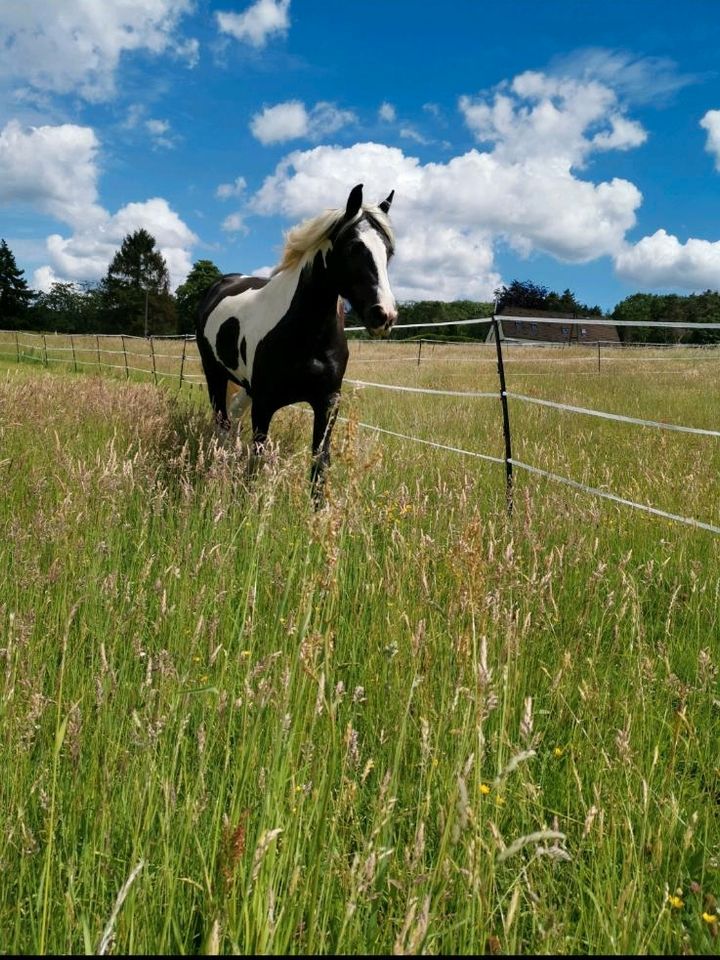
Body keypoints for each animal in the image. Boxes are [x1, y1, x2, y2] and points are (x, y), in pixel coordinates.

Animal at [197, 184, 396, 506]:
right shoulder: (264, 404)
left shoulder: (327, 403)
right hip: (214, 374)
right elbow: (258, 458)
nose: (384, 315)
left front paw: (317, 512)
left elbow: (320, 461)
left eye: (388, 252)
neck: (305, 336)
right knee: (223, 423)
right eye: (354, 247)